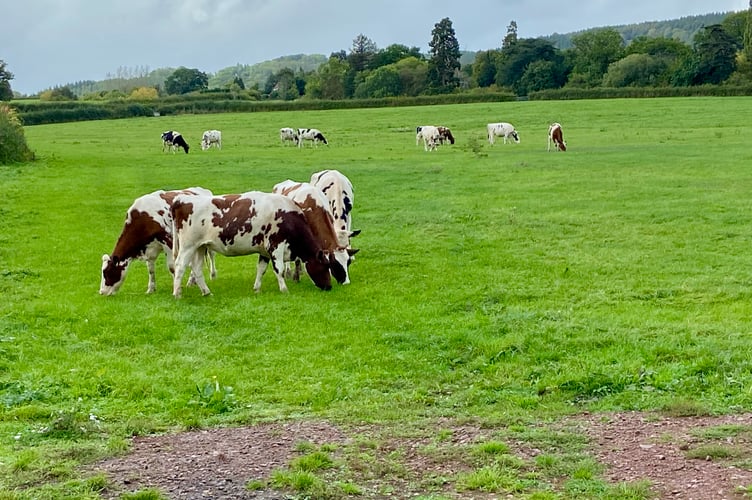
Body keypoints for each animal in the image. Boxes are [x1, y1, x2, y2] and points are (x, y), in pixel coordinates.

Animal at [170, 191, 333, 297]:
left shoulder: (264, 251)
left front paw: (257, 288)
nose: (329, 287)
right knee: (180, 265)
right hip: (188, 246)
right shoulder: (275, 245)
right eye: (326, 266)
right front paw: (284, 289)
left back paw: (206, 292)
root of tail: (181, 200)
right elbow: (279, 269)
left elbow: (261, 269)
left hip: (200, 247)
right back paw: (177, 293)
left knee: (197, 268)